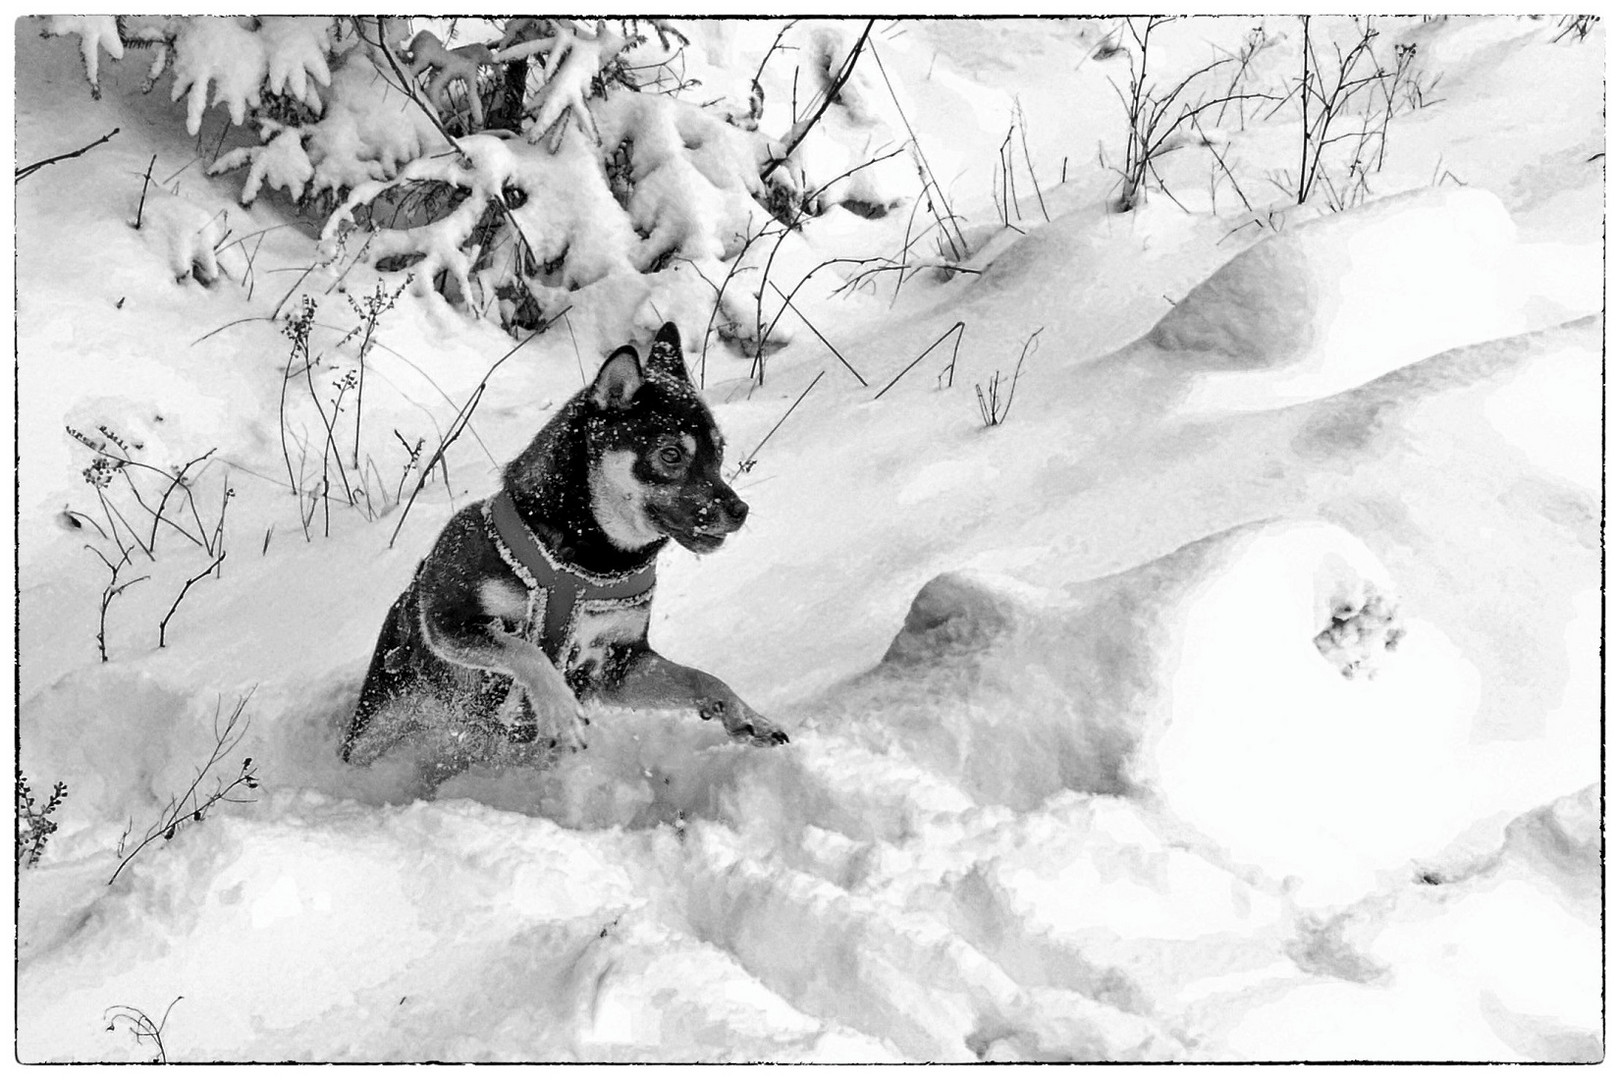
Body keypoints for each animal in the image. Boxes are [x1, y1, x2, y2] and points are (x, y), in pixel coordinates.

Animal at [345, 317, 787, 780]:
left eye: (718, 452)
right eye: (670, 455)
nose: (739, 510)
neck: (584, 563)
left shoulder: (619, 664)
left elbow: (701, 678)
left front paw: (747, 717)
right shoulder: (448, 619)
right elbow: (526, 652)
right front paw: (560, 712)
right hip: (381, 723)